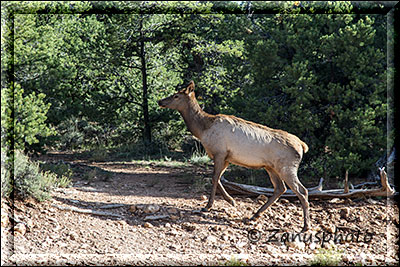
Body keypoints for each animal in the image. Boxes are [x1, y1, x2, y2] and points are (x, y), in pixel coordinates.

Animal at [158, 80, 310, 232]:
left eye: (176, 96)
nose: (160, 101)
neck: (202, 130)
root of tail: (302, 145)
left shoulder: (219, 152)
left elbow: (214, 178)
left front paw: (208, 206)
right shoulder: (226, 157)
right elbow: (218, 178)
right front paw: (231, 200)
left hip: (286, 167)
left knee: (302, 190)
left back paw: (305, 226)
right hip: (271, 167)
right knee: (280, 188)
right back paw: (255, 215)